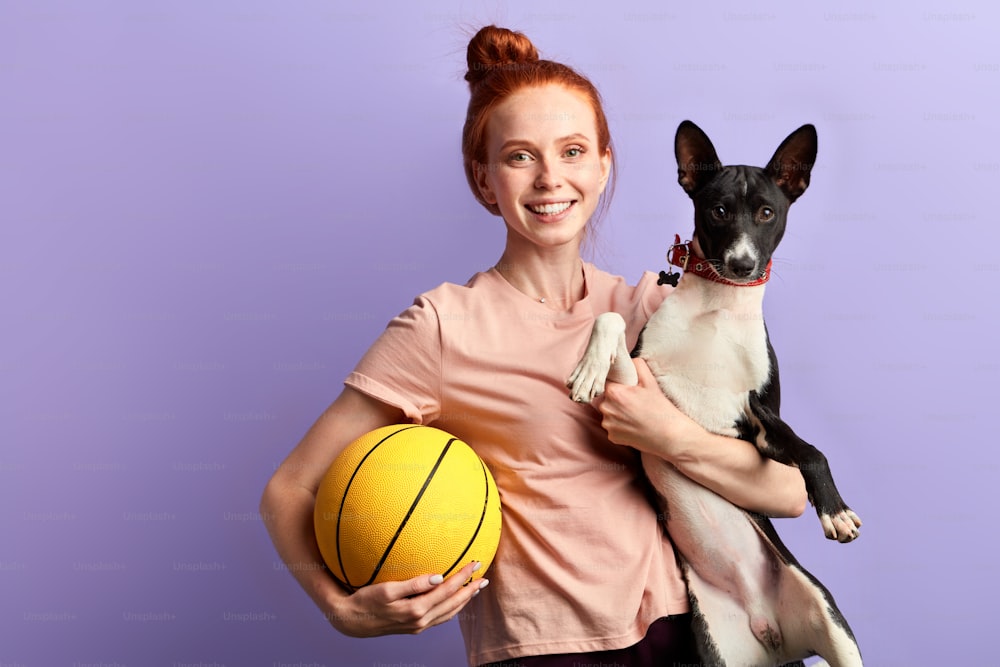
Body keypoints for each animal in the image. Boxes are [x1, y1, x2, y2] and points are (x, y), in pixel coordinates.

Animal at [572, 121, 860, 667]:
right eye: (718, 210)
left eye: (767, 212)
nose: (742, 264)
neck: (718, 309)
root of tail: (771, 633)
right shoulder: (637, 387)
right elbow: (610, 317)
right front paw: (588, 370)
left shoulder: (760, 424)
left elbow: (811, 450)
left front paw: (835, 511)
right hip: (713, 648)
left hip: (835, 628)